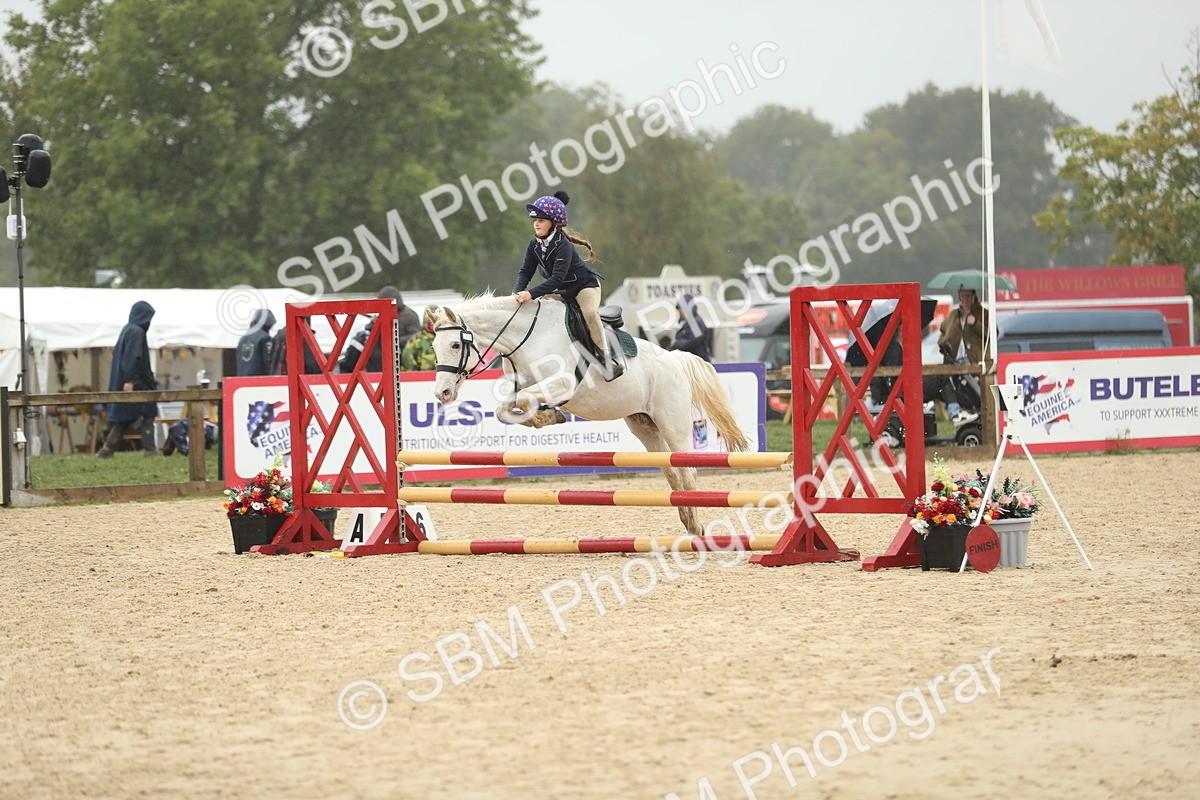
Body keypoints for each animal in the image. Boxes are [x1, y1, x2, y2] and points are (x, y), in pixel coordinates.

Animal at [428, 293, 751, 535]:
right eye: (433, 345)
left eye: (455, 344)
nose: (442, 393)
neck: (527, 337)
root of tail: (675, 359)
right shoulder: (525, 386)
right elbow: (505, 408)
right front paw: (544, 417)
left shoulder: (561, 384)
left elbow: (520, 401)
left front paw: (548, 416)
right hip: (644, 425)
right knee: (672, 473)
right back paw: (688, 521)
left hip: (673, 423)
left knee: (687, 471)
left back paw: (695, 525)